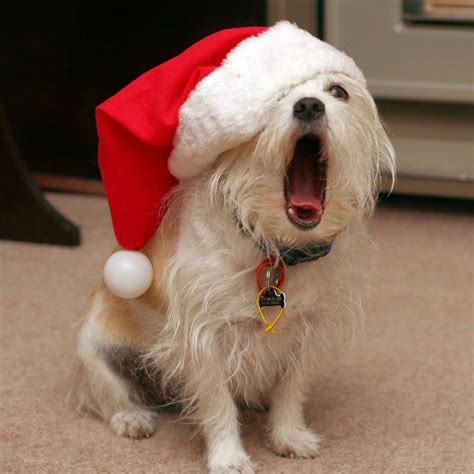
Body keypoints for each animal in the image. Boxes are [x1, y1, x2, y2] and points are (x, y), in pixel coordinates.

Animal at [71, 25, 396, 474]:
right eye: (273, 99)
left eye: (338, 91)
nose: (308, 105)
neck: (276, 249)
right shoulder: (204, 338)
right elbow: (217, 404)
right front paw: (228, 457)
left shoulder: (309, 331)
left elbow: (291, 392)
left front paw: (287, 436)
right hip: (99, 351)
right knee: (108, 394)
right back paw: (131, 416)